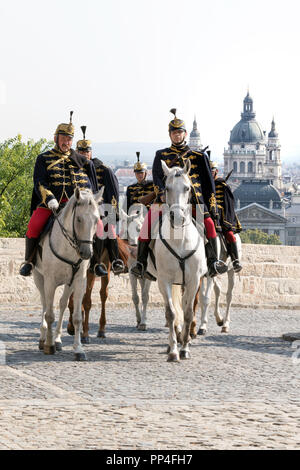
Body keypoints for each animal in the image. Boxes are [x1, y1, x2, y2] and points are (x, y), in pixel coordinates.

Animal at [33, 187, 103, 360]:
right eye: (78, 219)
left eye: (96, 220)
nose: (86, 253)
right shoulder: (50, 281)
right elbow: (49, 314)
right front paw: (49, 345)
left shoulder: (79, 281)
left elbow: (77, 317)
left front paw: (78, 349)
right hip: (39, 278)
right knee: (45, 304)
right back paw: (43, 338)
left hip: (69, 283)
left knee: (63, 303)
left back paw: (57, 339)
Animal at [120, 204, 152, 332]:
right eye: (127, 231)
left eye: (139, 229)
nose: (133, 245)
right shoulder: (132, 274)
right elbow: (136, 297)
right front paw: (139, 320)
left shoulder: (148, 276)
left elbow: (145, 297)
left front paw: (143, 323)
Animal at [146, 160, 207, 362]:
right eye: (167, 187)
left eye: (187, 188)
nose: (178, 218)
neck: (180, 239)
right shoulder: (164, 280)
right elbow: (172, 313)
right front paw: (173, 350)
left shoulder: (193, 280)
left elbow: (188, 313)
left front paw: (185, 348)